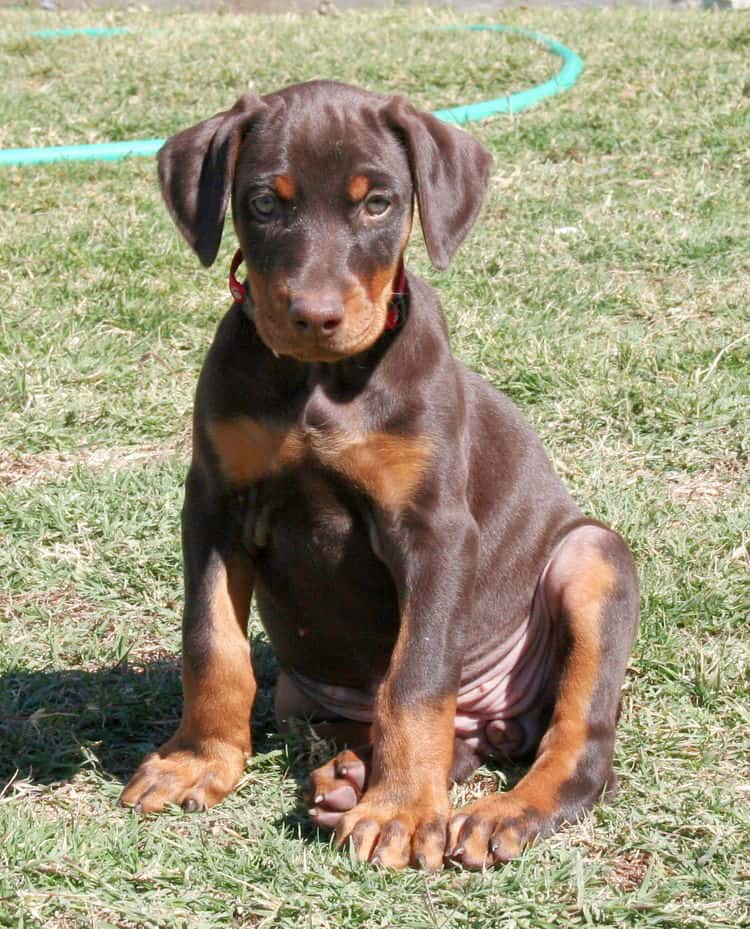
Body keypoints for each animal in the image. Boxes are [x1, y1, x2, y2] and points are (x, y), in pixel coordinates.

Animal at [122, 81, 640, 872]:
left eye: (378, 203)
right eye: (264, 202)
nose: (314, 316)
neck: (318, 383)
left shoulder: (434, 531)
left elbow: (417, 677)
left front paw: (398, 811)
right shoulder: (213, 505)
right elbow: (210, 643)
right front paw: (197, 761)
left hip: (594, 555)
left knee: (577, 747)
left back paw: (494, 813)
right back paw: (349, 777)